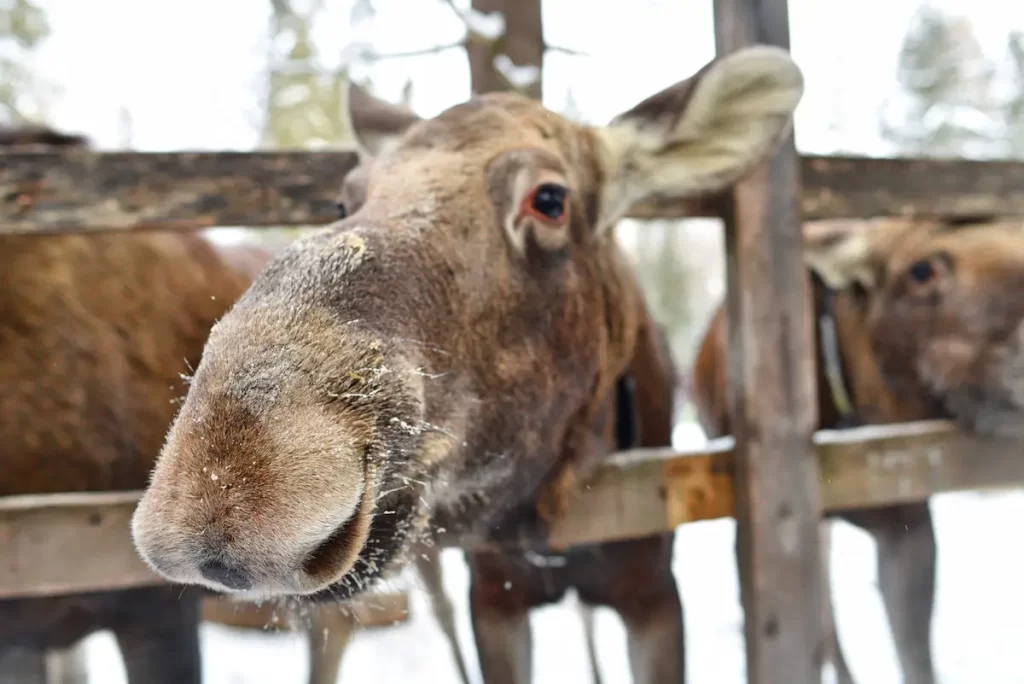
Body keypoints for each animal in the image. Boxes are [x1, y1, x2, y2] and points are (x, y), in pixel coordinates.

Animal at [130, 45, 798, 679]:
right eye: (344, 199)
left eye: (549, 199)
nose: (226, 490)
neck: (548, 526)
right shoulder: (494, 595)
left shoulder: (652, 591)